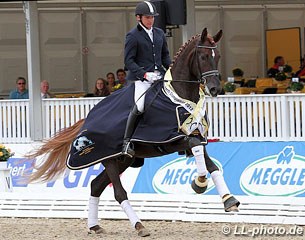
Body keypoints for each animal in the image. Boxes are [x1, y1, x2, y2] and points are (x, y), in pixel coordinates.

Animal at [26, 27, 239, 236]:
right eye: (203, 56)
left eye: (218, 56)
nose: (214, 89)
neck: (177, 96)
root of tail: (88, 119)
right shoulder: (170, 139)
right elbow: (196, 150)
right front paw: (200, 182)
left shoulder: (195, 137)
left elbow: (211, 165)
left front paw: (228, 199)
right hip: (110, 159)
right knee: (118, 193)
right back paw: (139, 225)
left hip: (122, 160)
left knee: (95, 185)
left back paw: (95, 226)